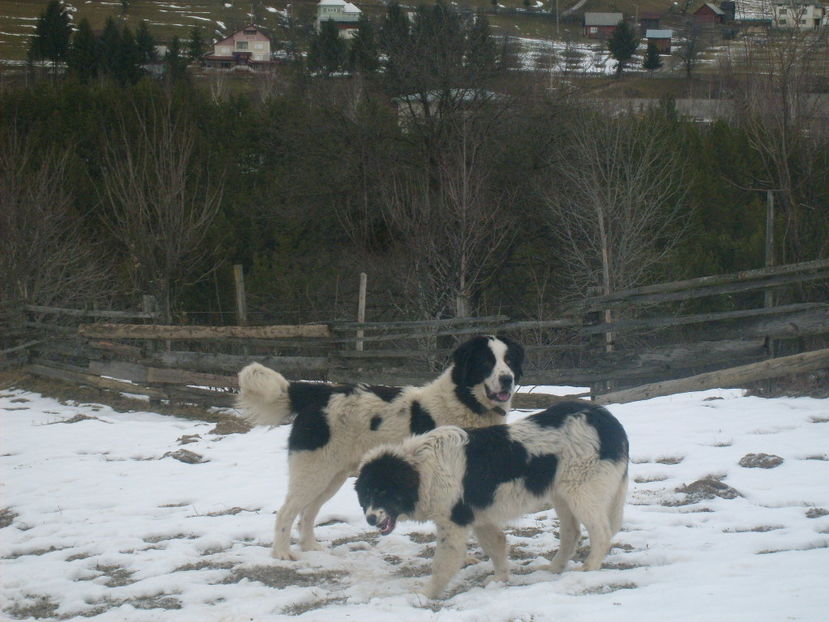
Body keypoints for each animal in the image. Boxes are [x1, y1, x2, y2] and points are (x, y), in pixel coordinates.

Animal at [236, 338, 524, 564]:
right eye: (485, 362)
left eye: (509, 360)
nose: (507, 379)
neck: (465, 401)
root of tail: (317, 393)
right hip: (313, 472)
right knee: (286, 511)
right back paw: (281, 554)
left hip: (332, 477)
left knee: (308, 513)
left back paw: (310, 547)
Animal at [350, 402, 628, 604]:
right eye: (366, 494)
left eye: (384, 491)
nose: (371, 518)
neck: (421, 469)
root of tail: (606, 419)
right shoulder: (479, 518)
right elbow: (497, 545)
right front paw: (500, 580)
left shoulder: (453, 523)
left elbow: (442, 564)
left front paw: (424, 595)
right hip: (562, 495)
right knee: (572, 533)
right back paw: (555, 569)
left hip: (580, 492)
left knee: (601, 532)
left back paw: (589, 568)